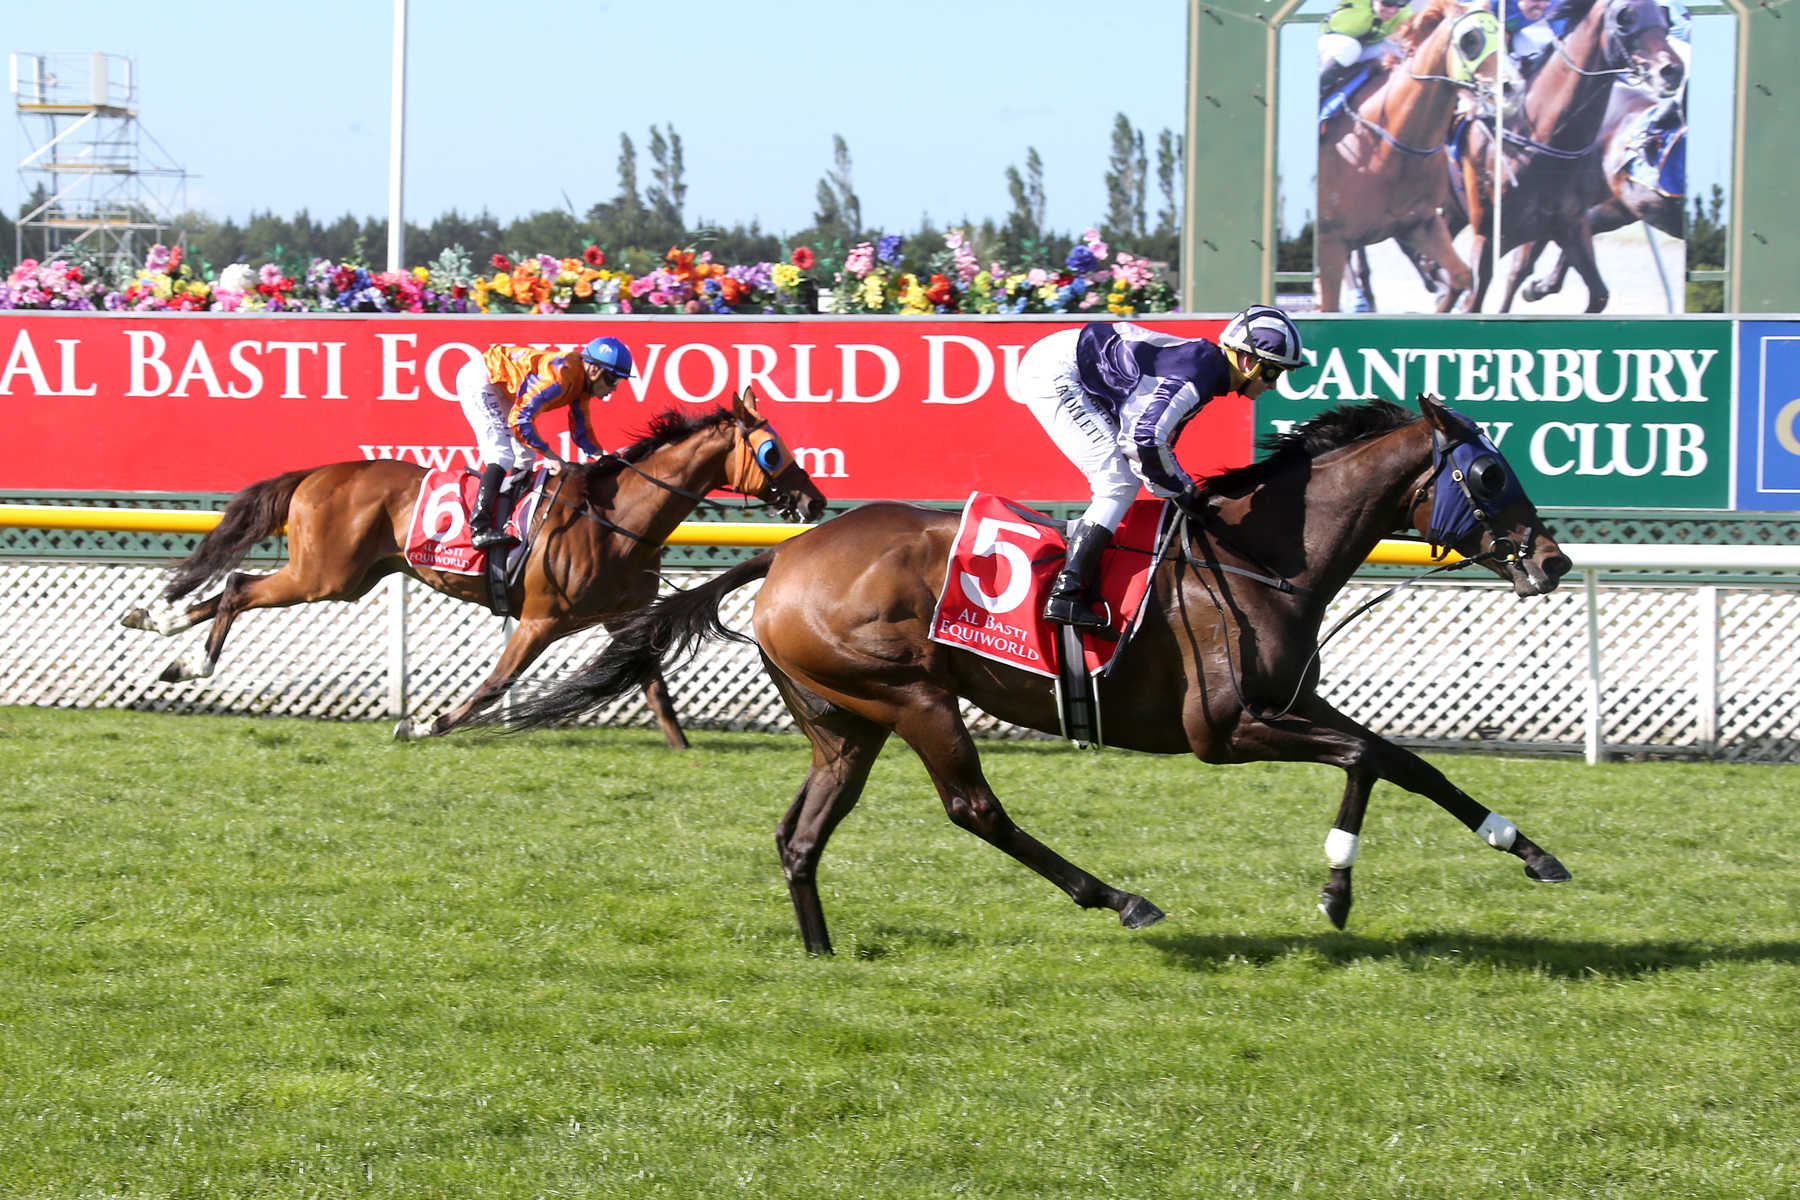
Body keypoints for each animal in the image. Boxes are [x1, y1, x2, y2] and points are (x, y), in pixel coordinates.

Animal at [123, 390, 824, 744]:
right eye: (772, 450)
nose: (814, 501)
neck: (618, 518)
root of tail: (320, 473)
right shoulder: (541, 619)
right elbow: (494, 683)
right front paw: (426, 722)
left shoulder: (616, 616)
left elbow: (653, 686)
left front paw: (683, 751)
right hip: (324, 575)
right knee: (238, 587)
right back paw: (193, 661)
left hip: (348, 576)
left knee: (225, 590)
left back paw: (159, 629)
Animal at [500, 399, 1569, 964]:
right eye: (1490, 475)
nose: (1552, 562)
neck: (1265, 556)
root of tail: (787, 553)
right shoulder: (1229, 729)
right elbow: (1363, 760)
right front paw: (1337, 891)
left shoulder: (1292, 701)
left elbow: (1407, 760)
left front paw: (1532, 851)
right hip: (914, 697)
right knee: (975, 808)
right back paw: (1119, 898)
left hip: (847, 721)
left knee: (800, 833)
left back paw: (820, 951)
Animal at [1317, 0, 1512, 314]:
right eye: (1471, 40)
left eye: (1503, 37)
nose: (1510, 88)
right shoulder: (1330, 241)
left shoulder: (1420, 224)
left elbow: (1461, 277)